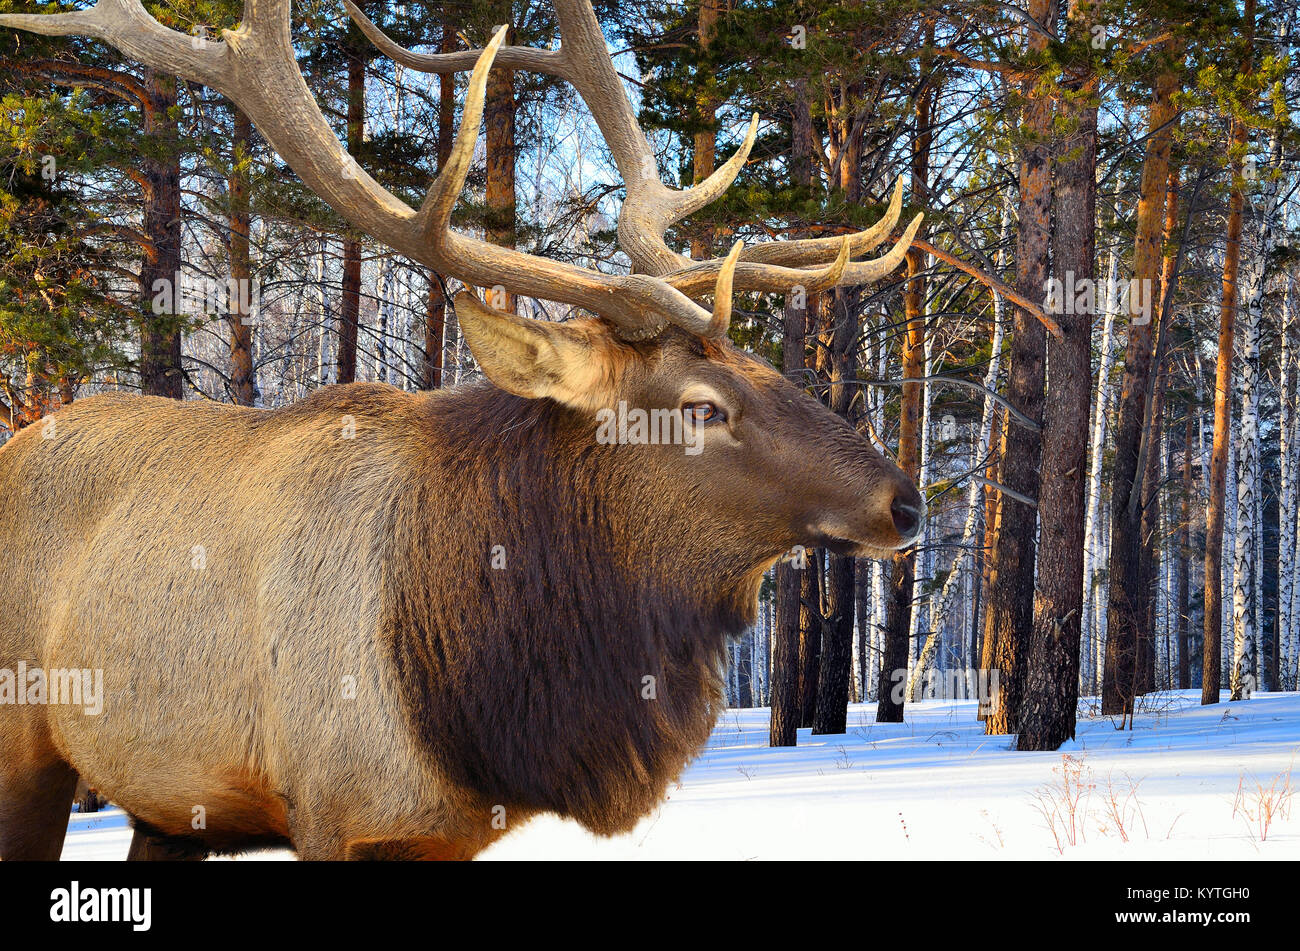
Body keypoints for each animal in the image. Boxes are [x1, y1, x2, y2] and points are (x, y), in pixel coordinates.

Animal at [0, 0, 925, 862]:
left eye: (765, 364)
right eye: (702, 406)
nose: (905, 502)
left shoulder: (441, 831)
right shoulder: (335, 809)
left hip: (168, 805)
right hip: (26, 745)